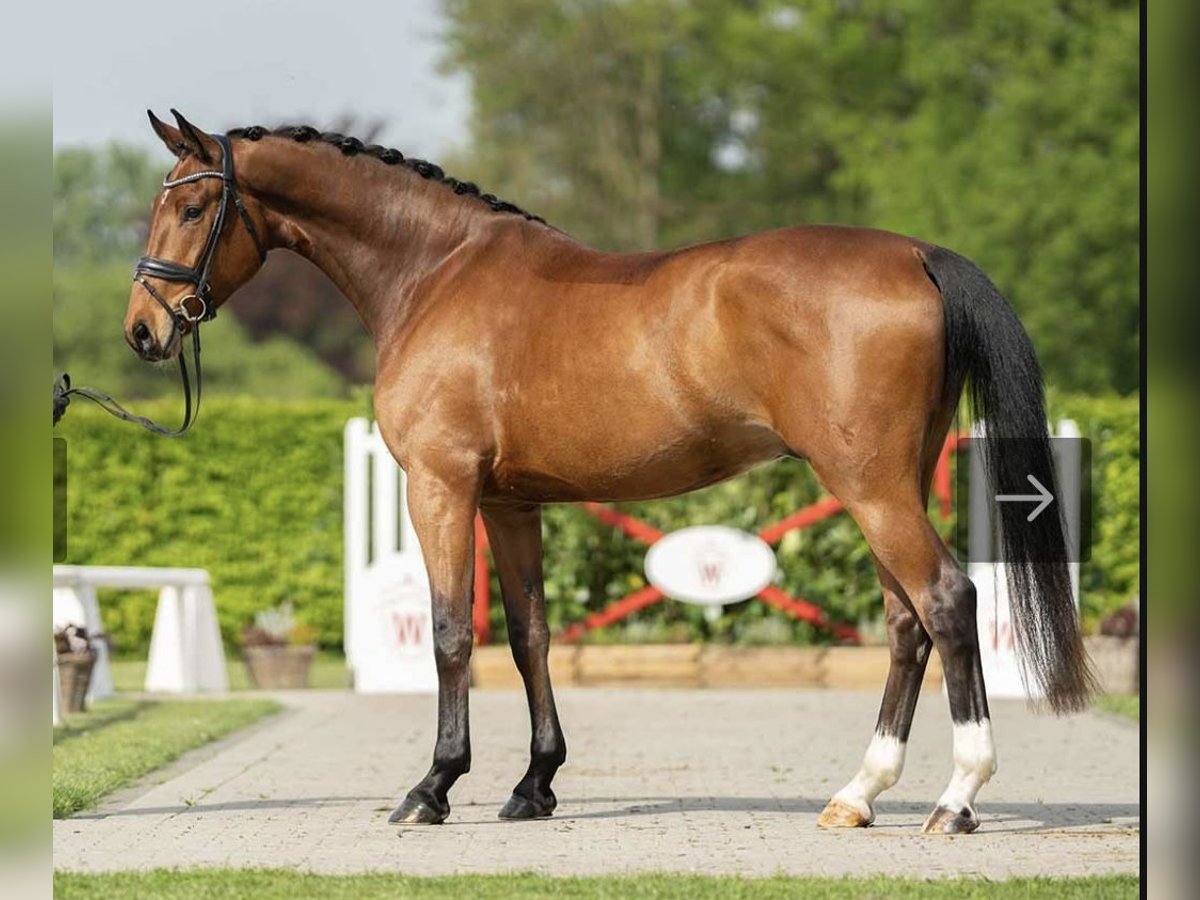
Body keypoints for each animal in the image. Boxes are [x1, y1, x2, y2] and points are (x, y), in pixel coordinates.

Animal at [126, 111, 1094, 840]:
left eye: (196, 205)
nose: (144, 329)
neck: (434, 272)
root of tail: (918, 253)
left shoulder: (439, 488)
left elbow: (448, 633)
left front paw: (433, 787)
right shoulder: (511, 503)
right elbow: (528, 636)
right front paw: (533, 786)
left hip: (871, 486)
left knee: (946, 602)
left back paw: (956, 799)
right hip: (888, 484)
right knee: (905, 622)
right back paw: (858, 795)